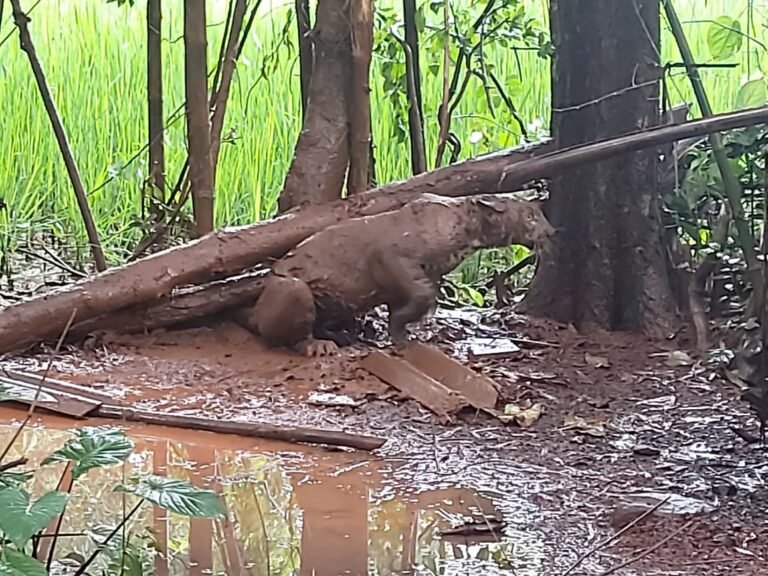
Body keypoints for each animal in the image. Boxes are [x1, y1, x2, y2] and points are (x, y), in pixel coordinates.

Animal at [244, 194, 552, 356]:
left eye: (539, 213)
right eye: (530, 216)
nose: (551, 231)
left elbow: (407, 306)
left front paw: (401, 337)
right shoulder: (390, 255)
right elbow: (424, 296)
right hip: (294, 289)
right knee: (286, 335)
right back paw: (320, 345)